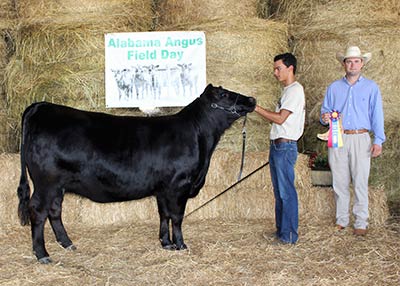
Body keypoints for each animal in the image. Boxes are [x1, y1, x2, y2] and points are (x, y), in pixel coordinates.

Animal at [17, 83, 256, 264]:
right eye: (224, 95)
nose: (252, 99)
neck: (198, 137)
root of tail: (42, 106)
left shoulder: (164, 188)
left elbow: (164, 214)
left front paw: (166, 243)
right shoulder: (179, 185)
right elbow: (177, 217)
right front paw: (181, 245)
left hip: (58, 185)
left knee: (54, 210)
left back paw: (67, 243)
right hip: (46, 183)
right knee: (38, 211)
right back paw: (42, 254)